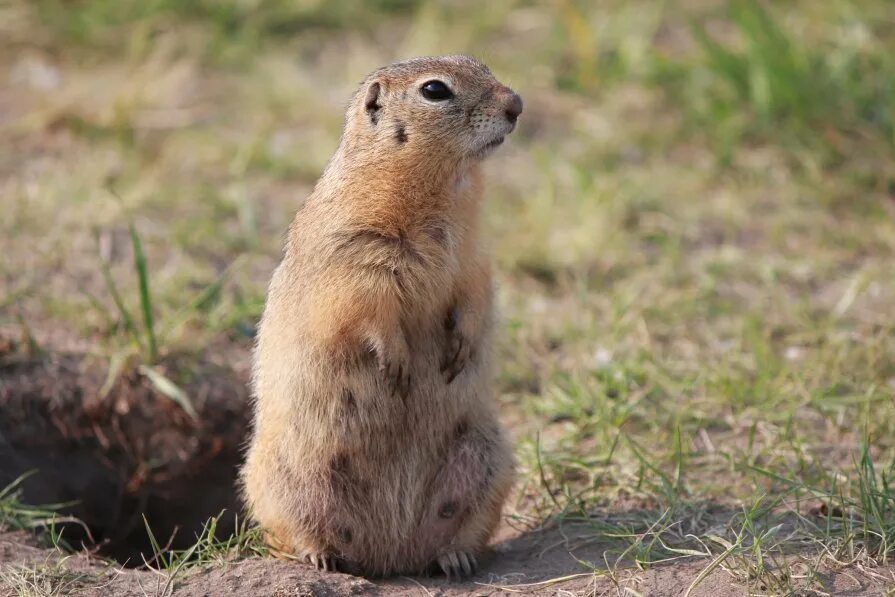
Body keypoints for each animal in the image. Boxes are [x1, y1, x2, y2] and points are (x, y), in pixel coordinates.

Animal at [243, 56, 524, 576]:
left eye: (480, 63)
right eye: (435, 90)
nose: (517, 104)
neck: (445, 188)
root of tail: (391, 556)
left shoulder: (474, 254)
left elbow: (474, 294)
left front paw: (462, 347)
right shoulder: (358, 253)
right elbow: (365, 307)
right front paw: (396, 362)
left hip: (490, 457)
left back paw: (455, 557)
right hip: (282, 475)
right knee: (289, 531)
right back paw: (319, 555)